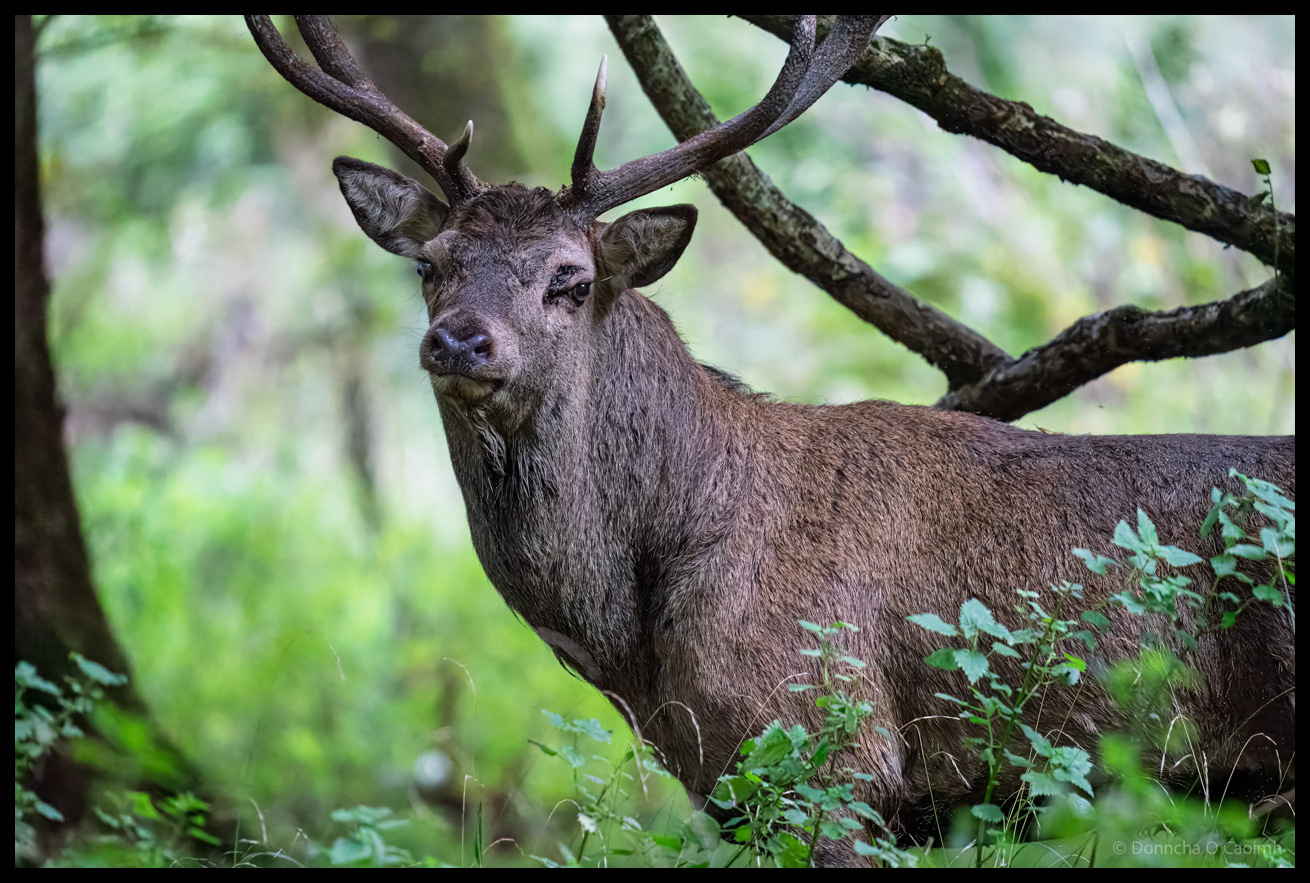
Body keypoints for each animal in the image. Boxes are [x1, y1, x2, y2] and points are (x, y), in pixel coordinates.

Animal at [247, 16, 1295, 865]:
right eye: (430, 265)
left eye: (570, 278)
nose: (461, 339)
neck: (640, 645)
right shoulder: (735, 788)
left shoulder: (832, 754)